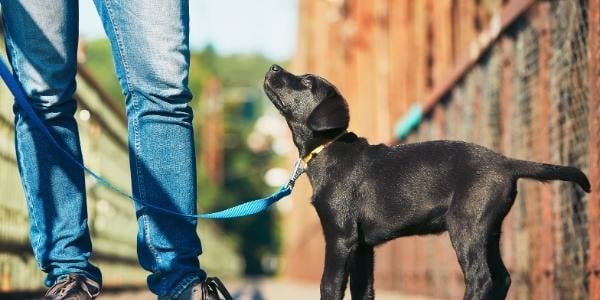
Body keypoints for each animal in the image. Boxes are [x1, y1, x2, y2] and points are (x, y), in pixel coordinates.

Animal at [264, 65, 592, 300]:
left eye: (307, 83)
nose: (273, 67)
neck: (327, 148)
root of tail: (506, 162)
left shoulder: (340, 237)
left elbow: (329, 286)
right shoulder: (362, 247)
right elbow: (363, 291)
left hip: (466, 225)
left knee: (481, 278)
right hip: (489, 229)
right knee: (501, 278)